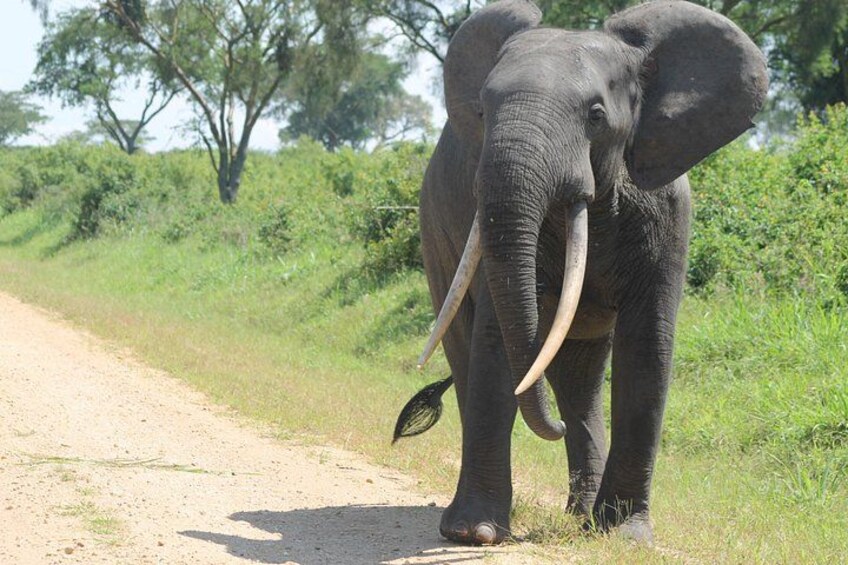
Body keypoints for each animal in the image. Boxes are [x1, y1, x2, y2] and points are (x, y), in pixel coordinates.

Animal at [394, 0, 768, 545]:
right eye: (483, 112)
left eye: (595, 116)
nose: (553, 429)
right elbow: (494, 337)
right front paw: (474, 534)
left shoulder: (667, 214)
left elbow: (648, 344)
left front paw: (625, 537)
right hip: (436, 232)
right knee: (468, 350)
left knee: (578, 375)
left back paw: (584, 515)